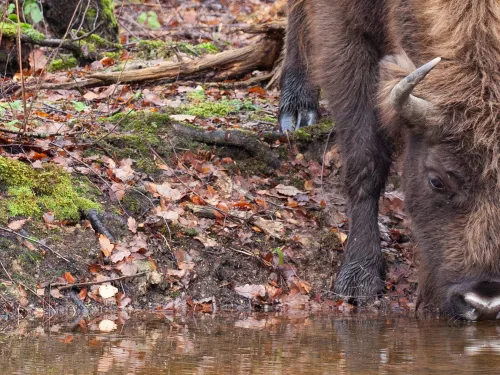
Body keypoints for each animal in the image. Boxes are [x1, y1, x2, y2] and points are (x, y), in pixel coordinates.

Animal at [280, 0, 500, 320]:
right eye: (436, 181)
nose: (485, 303)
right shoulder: (344, 28)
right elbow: (365, 159)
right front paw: (359, 280)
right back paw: (296, 109)